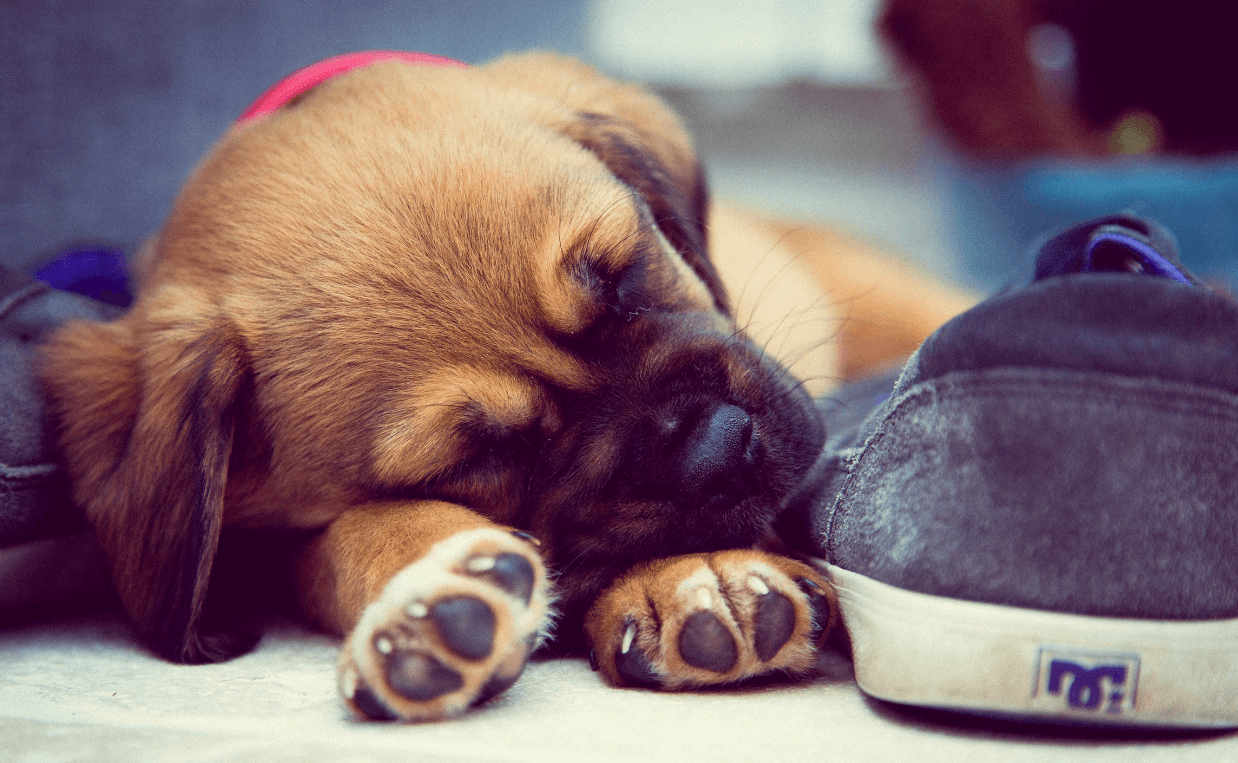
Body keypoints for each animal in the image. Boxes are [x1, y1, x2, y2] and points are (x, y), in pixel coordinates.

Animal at [36, 53, 955, 723]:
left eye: (623, 278)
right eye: (481, 452)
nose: (716, 445)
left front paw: (699, 571)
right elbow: (364, 533)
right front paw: (433, 600)